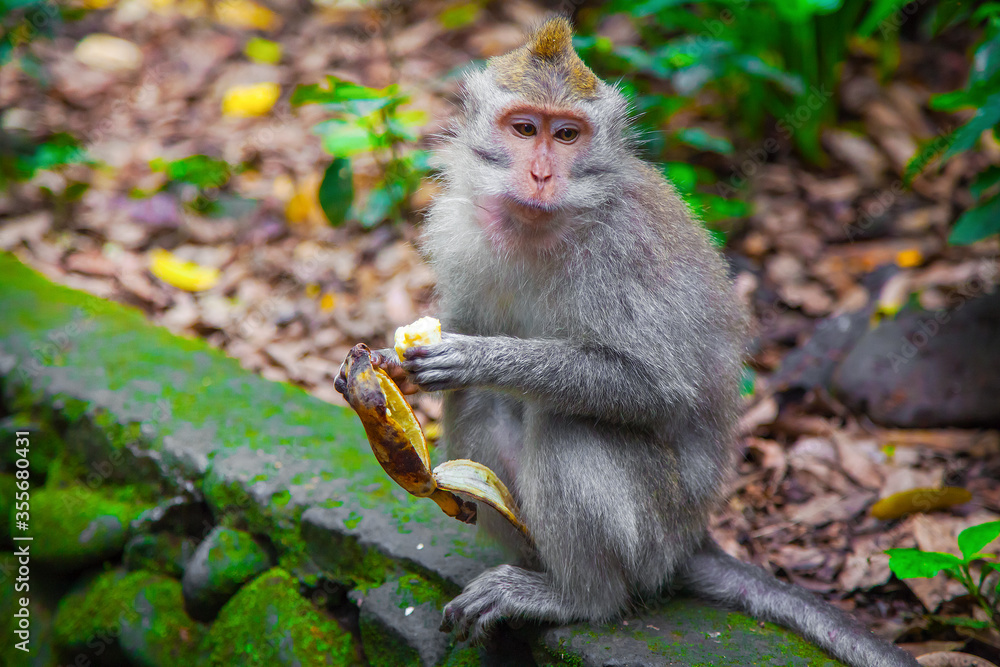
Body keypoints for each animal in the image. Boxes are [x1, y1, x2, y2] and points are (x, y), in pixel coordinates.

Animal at [336, 17, 919, 667]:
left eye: (567, 134)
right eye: (524, 128)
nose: (541, 174)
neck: (540, 223)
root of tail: (693, 537)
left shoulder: (622, 249)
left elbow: (656, 389)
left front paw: (478, 357)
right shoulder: (460, 226)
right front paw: (384, 367)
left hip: (655, 532)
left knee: (566, 424)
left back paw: (577, 597)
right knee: (481, 406)